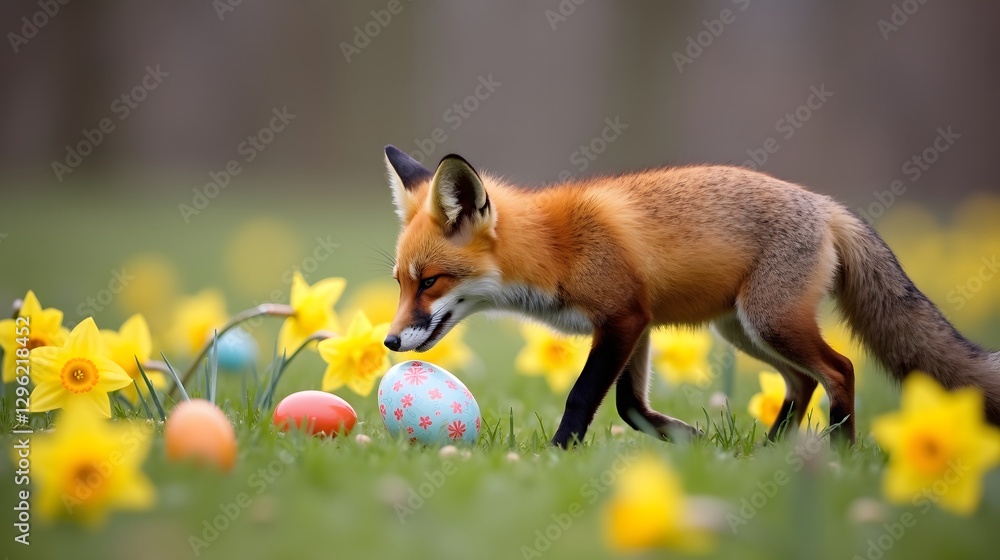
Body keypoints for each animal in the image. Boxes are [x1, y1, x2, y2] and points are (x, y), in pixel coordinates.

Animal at [379, 144, 1000, 448]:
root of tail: (827, 205)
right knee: (803, 382)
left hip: (769, 321)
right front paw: (688, 439)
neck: (554, 249)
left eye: (430, 281)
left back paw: (842, 452)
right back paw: (769, 451)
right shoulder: (638, 326)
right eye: (401, 282)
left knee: (840, 369)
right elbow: (630, 407)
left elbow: (583, 397)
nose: (388, 341)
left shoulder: (623, 318)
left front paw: (557, 454)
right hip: (744, 329)